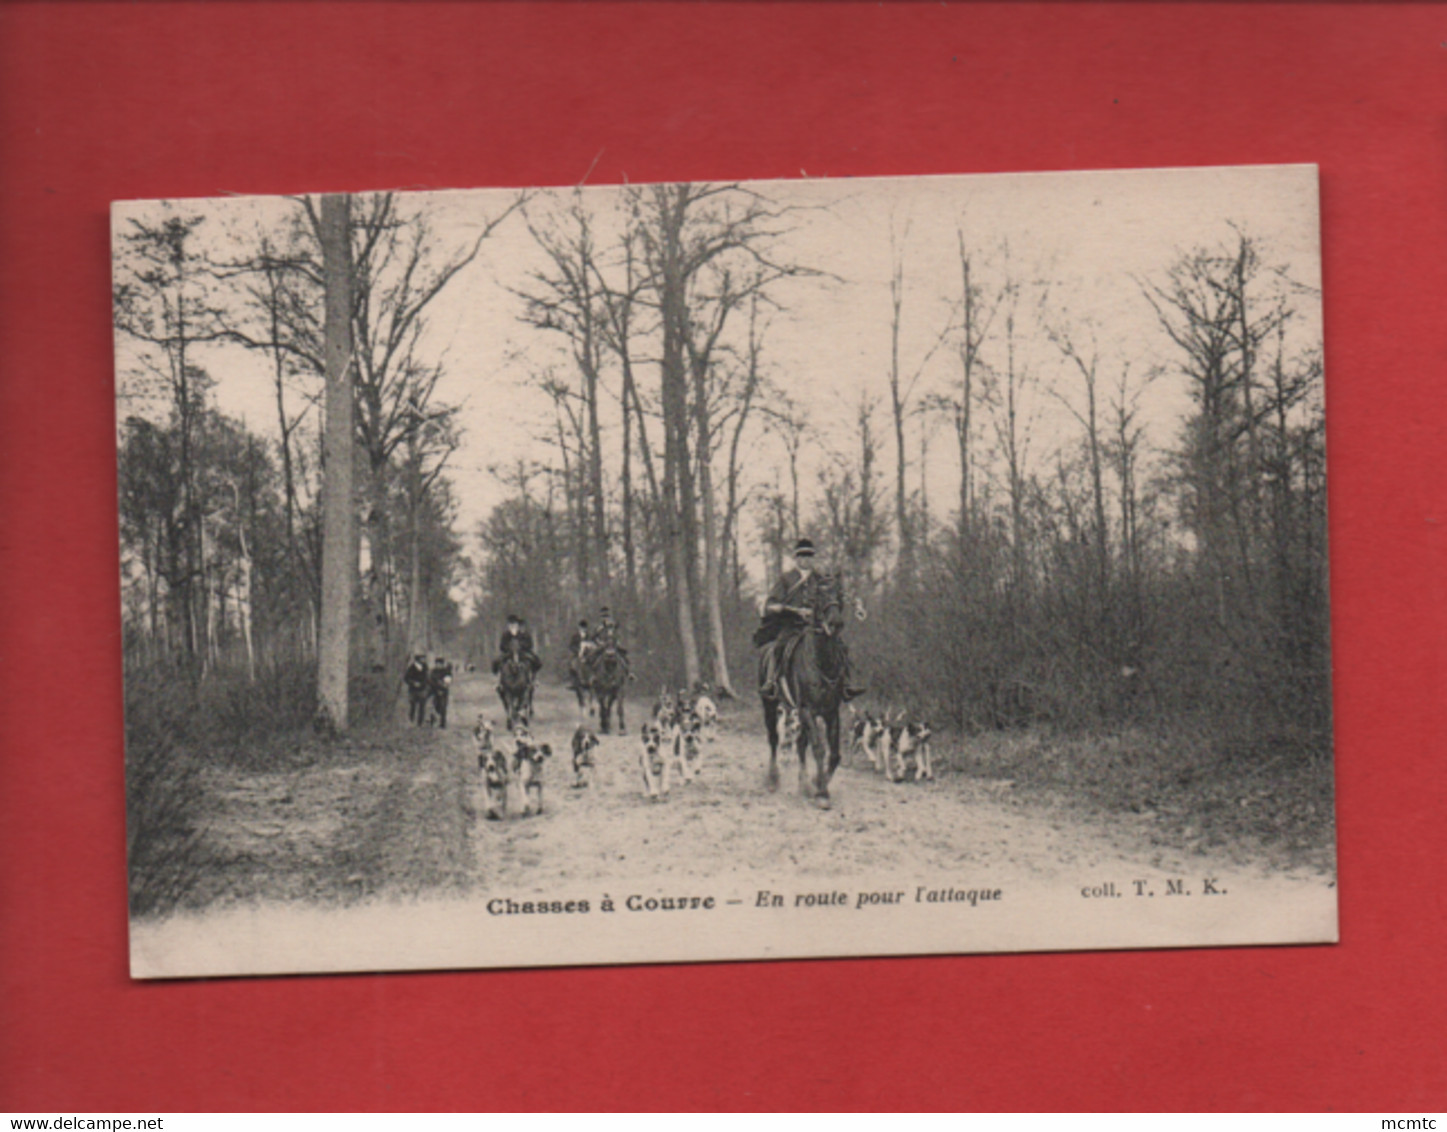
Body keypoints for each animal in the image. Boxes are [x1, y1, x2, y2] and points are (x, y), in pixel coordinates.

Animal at [758, 590, 845, 810]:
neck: (821, 661)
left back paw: (804, 784)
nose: (835, 623)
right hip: (770, 706)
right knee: (774, 739)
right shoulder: (808, 710)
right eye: (820, 592)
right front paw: (822, 792)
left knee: (799, 744)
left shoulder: (831, 712)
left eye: (839, 591)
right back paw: (773, 779)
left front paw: (815, 782)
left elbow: (834, 754)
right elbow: (819, 748)